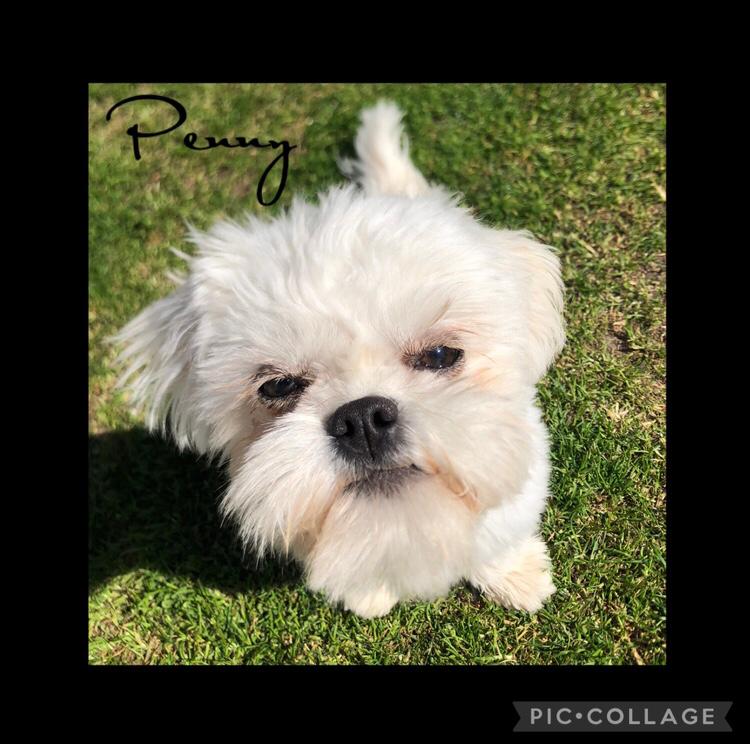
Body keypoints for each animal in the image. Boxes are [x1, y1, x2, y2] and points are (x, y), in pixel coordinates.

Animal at [115, 101, 565, 618]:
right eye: (279, 386)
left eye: (439, 354)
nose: (363, 418)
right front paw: (369, 596)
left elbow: (497, 533)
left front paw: (516, 575)